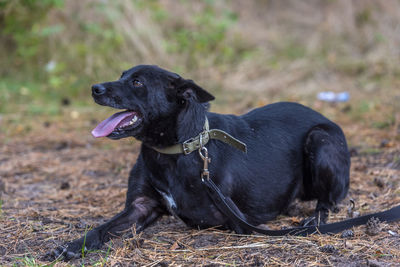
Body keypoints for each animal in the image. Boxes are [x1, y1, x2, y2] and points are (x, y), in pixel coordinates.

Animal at [49, 65, 350, 262]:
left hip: (320, 140)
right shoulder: (139, 207)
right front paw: (74, 245)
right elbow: (103, 227)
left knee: (329, 200)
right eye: (121, 76)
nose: (95, 88)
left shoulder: (238, 221)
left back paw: (315, 218)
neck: (171, 152)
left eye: (137, 82)